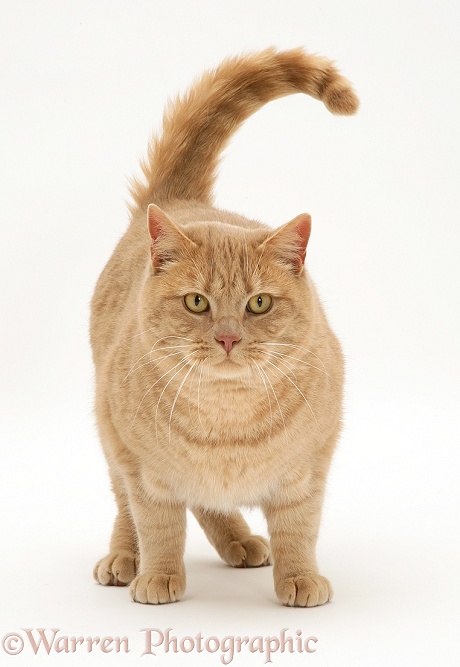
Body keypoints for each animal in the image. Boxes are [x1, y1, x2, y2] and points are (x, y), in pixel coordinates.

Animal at [89, 47, 356, 608]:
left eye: (258, 303)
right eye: (197, 302)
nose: (228, 337)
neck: (226, 423)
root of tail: (177, 201)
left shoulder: (308, 470)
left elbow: (298, 529)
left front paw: (301, 577)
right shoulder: (143, 469)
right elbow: (157, 525)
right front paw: (158, 575)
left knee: (209, 503)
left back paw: (239, 540)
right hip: (109, 434)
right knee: (126, 508)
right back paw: (125, 558)